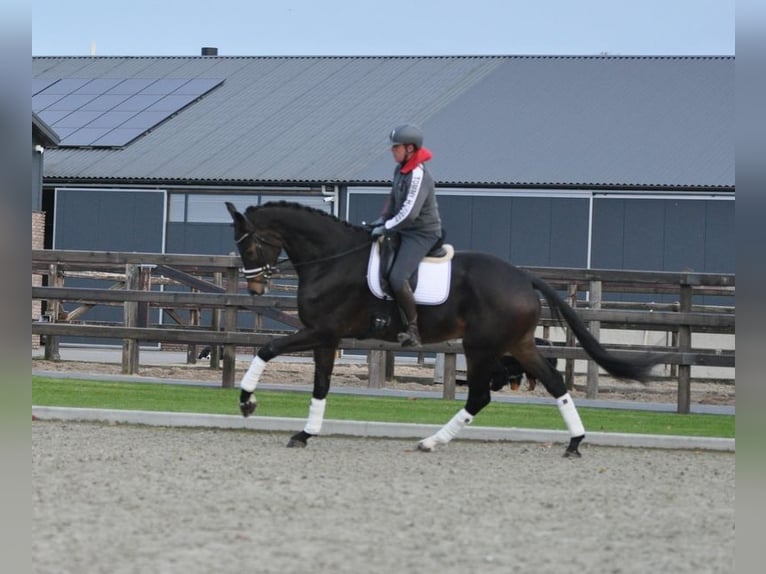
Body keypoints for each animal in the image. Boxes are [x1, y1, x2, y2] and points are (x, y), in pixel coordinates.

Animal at [225, 202, 656, 460]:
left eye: (249, 246)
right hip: (518, 345)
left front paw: (247, 403)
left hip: (481, 347)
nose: (255, 287)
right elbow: (320, 384)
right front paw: (305, 432)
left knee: (480, 396)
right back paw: (575, 442)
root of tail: (523, 278)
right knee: (554, 384)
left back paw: (432, 440)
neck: (332, 260)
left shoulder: (320, 331)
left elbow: (266, 349)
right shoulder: (326, 337)